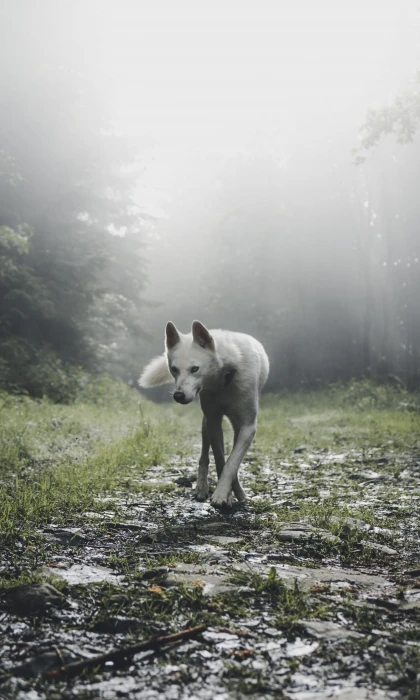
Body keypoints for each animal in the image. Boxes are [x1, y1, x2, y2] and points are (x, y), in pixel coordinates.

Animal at [139, 321, 269, 509]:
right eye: (174, 369)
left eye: (195, 369)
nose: (178, 396)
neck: (224, 379)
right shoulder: (213, 422)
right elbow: (221, 460)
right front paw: (226, 494)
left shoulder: (248, 427)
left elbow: (232, 463)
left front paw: (224, 493)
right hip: (205, 424)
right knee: (204, 456)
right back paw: (202, 488)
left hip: (234, 426)